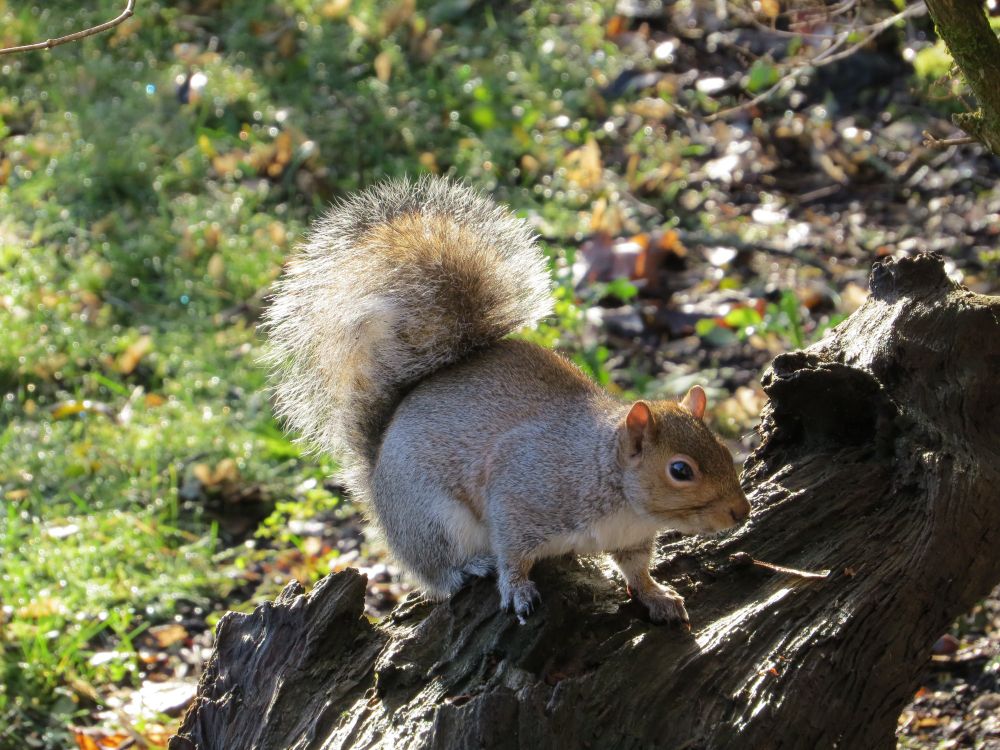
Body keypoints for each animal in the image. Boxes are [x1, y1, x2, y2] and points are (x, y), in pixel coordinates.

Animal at [263, 176, 750, 625]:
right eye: (680, 471)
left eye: (726, 451)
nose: (740, 512)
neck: (612, 486)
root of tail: (378, 472)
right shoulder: (521, 494)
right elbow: (513, 553)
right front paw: (516, 589)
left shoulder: (629, 538)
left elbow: (636, 569)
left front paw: (656, 594)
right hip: (432, 520)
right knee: (435, 571)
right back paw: (468, 567)